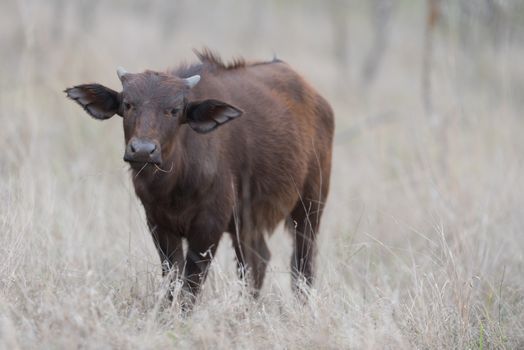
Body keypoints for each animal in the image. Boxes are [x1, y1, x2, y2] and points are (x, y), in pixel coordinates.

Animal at [65, 49, 334, 306]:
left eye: (174, 110)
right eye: (128, 104)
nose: (142, 150)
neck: (173, 187)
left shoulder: (209, 226)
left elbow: (191, 282)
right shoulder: (158, 223)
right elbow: (173, 276)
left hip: (310, 206)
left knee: (301, 264)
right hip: (248, 223)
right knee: (257, 261)